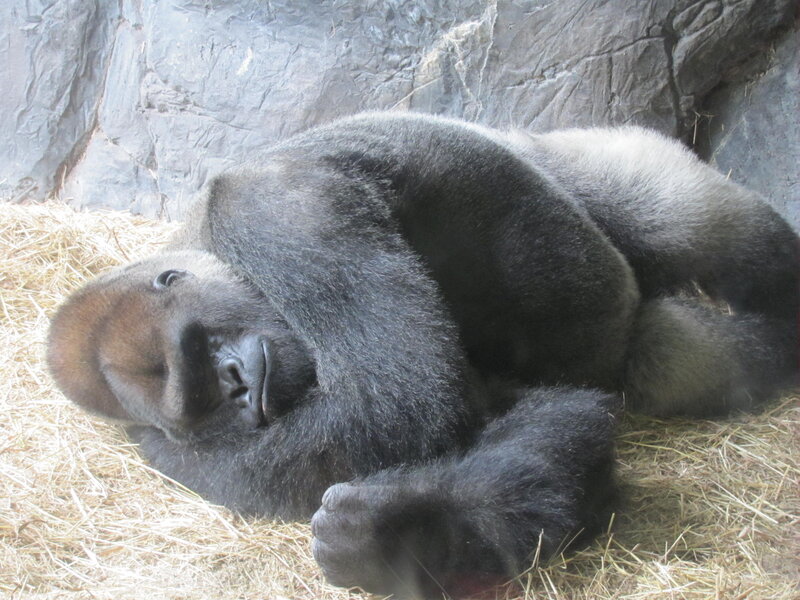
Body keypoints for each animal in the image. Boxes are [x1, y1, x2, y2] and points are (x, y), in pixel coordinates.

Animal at [47, 112, 799, 598]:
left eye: (198, 347)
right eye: (200, 399)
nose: (237, 384)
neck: (201, 232)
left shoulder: (274, 206)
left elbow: (402, 401)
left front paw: (412, 531)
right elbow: (546, 421)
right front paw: (428, 532)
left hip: (594, 158)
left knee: (684, 218)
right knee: (678, 358)